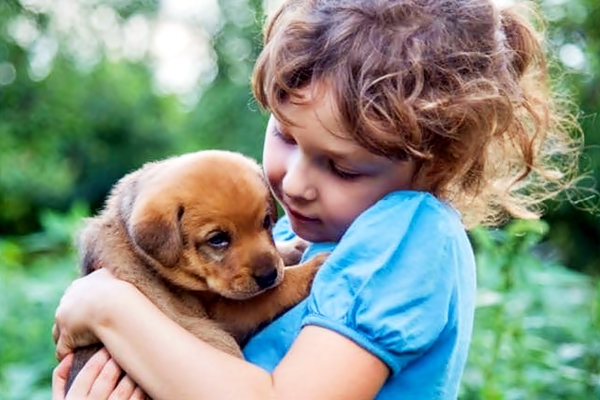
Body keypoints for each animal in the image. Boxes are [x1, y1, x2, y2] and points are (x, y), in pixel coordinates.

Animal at [63, 150, 326, 394]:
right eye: (217, 239)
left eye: (266, 222)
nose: (268, 275)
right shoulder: (226, 313)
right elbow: (275, 292)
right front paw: (312, 268)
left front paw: (293, 248)